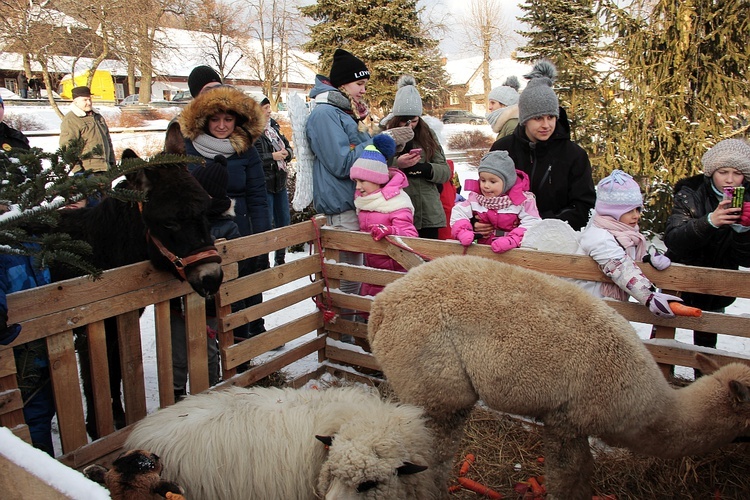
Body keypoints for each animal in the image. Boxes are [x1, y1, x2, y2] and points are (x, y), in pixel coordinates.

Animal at [368, 256, 750, 498]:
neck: (648, 410)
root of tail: (381, 305)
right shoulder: (568, 419)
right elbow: (568, 479)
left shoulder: (571, 423)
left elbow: (582, 476)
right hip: (438, 385)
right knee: (431, 456)